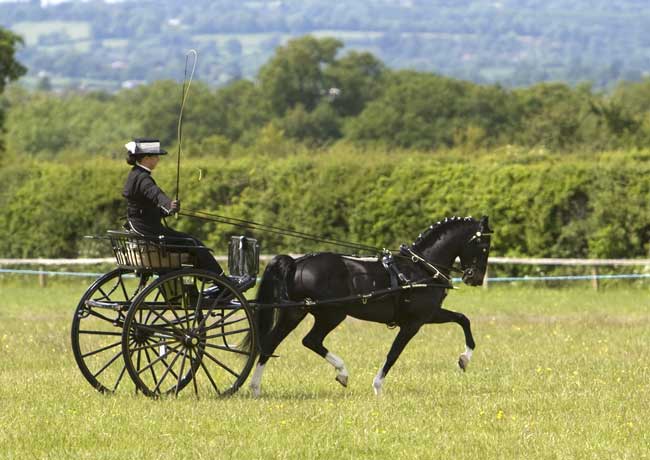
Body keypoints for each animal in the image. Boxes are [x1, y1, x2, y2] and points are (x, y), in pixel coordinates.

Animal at [248, 216, 492, 396]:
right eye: (483, 245)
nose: (476, 278)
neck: (420, 268)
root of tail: (298, 262)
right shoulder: (413, 323)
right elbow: (393, 354)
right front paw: (377, 386)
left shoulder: (429, 315)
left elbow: (462, 319)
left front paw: (464, 359)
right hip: (331, 314)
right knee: (310, 340)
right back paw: (342, 373)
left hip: (297, 312)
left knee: (272, 343)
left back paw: (255, 387)